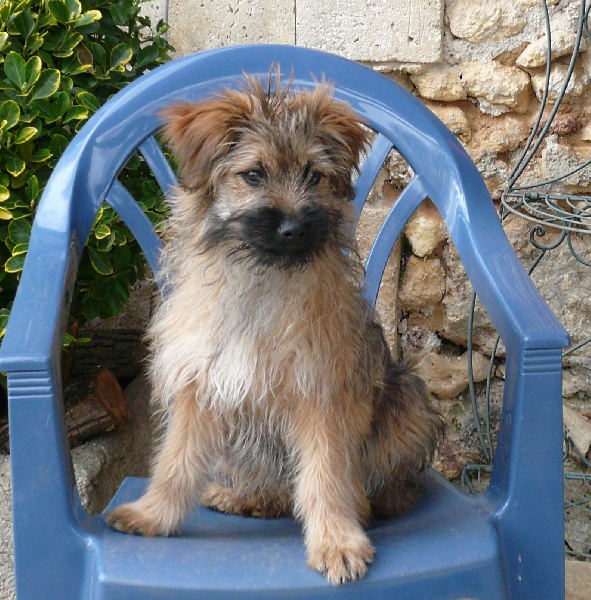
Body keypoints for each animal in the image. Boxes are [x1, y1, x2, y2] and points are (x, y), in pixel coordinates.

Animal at [106, 68, 442, 584]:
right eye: (253, 175)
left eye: (313, 174)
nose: (293, 229)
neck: (264, 278)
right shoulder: (201, 385)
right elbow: (175, 461)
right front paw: (153, 515)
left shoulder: (322, 391)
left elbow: (325, 474)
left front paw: (336, 541)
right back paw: (243, 497)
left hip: (406, 397)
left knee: (372, 486)